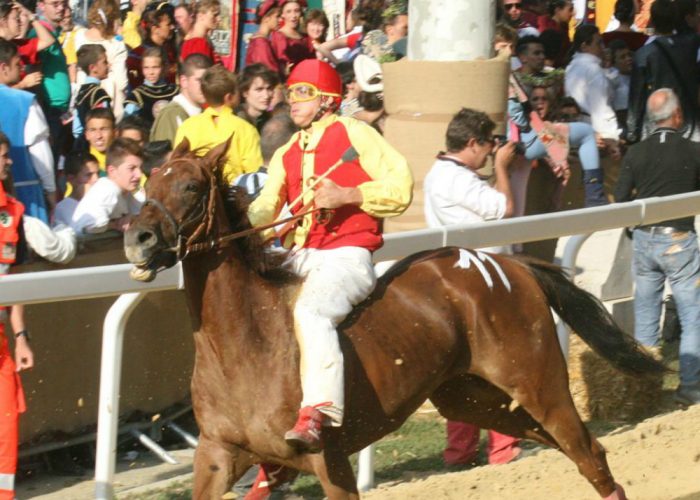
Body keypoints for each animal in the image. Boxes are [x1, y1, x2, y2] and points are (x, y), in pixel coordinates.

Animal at [126, 141, 668, 500]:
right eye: (148, 182)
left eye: (191, 185)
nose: (138, 238)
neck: (245, 344)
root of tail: (511, 265)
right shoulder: (218, 456)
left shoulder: (328, 459)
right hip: (473, 398)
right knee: (567, 448)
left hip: (540, 383)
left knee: (589, 454)